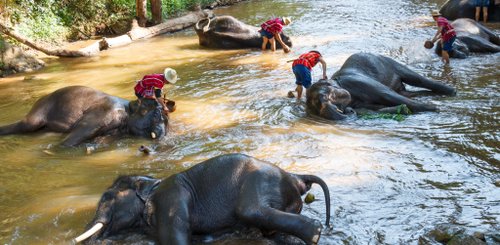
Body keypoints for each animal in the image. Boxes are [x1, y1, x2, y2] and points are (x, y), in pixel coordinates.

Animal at [0, 85, 174, 146]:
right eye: (157, 113)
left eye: (167, 119)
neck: (127, 110)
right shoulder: (102, 112)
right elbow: (79, 133)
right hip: (41, 108)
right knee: (28, 124)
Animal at [74, 154, 330, 244]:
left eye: (107, 197)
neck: (152, 183)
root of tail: (296, 177)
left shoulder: (171, 198)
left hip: (259, 180)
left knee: (250, 210)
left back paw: (315, 234)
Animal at [304, 52, 458, 119]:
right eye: (317, 104)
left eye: (327, 93)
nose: (344, 110)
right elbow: (377, 109)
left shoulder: (356, 81)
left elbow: (387, 95)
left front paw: (435, 109)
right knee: (409, 93)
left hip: (389, 63)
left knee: (415, 79)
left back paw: (452, 92)